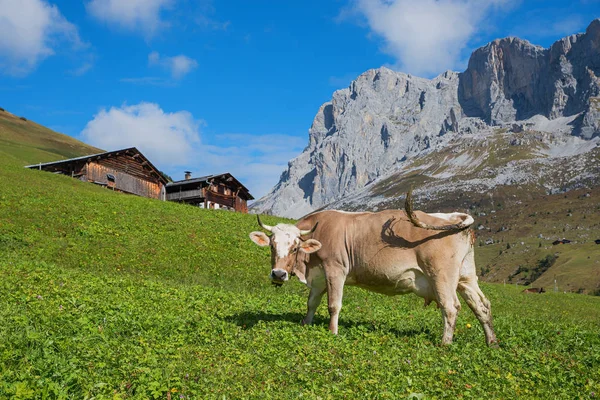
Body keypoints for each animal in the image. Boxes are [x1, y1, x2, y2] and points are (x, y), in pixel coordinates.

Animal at [248, 192, 496, 346]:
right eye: (272, 245)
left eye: (294, 247)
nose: (278, 274)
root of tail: (451, 216)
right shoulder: (319, 276)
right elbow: (312, 303)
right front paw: (305, 324)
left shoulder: (335, 270)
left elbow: (333, 305)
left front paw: (332, 332)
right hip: (465, 276)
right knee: (481, 305)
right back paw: (492, 342)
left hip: (441, 275)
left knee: (451, 307)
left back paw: (445, 344)